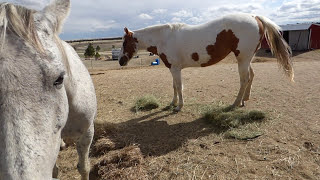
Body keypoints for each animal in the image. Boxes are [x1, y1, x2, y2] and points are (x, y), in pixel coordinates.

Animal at [119, 13, 294, 110]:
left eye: (124, 43)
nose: (121, 61)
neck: (165, 38)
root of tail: (255, 17)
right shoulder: (172, 69)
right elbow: (174, 86)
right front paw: (172, 103)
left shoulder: (175, 69)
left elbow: (179, 87)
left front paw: (179, 106)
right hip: (246, 59)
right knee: (251, 76)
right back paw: (244, 100)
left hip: (243, 59)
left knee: (244, 80)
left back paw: (236, 103)